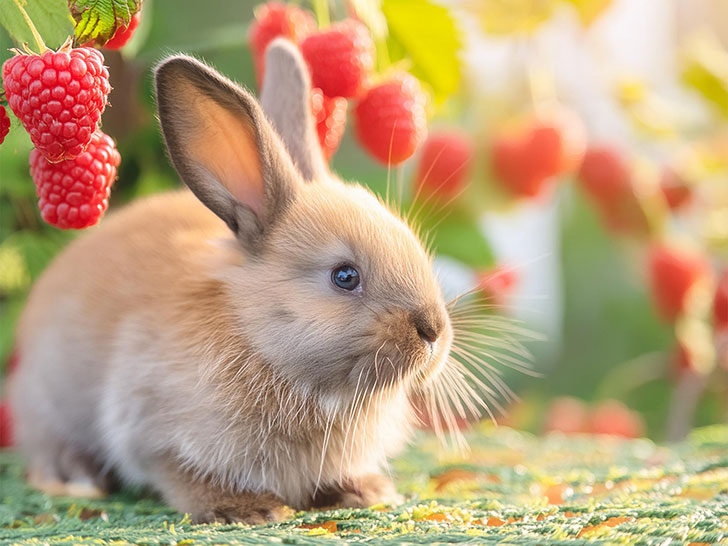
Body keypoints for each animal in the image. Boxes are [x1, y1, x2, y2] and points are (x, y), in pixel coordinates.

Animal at [7, 39, 472, 524]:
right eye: (345, 277)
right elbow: (183, 477)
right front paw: (249, 511)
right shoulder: (154, 435)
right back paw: (75, 478)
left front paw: (365, 492)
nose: (434, 331)